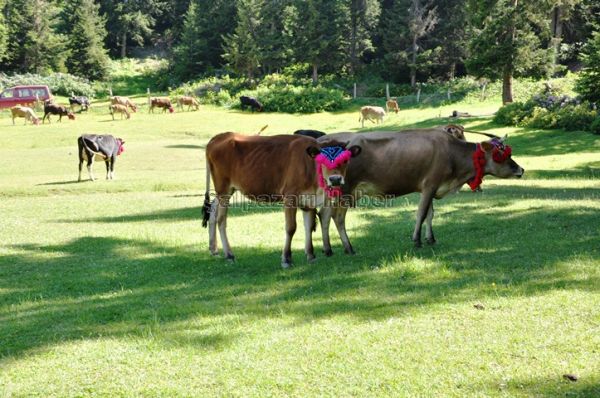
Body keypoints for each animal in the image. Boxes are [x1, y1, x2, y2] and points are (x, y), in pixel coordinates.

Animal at [202, 133, 360, 268]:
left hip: (226, 190)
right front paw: (286, 259)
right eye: (322, 160)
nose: (335, 179)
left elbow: (308, 226)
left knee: (213, 211)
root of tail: (219, 136)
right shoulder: (290, 196)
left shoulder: (309, 200)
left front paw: (310, 255)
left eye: (345, 160)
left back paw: (213, 249)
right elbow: (291, 227)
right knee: (221, 219)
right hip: (223, 189)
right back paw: (229, 254)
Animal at [316, 127, 524, 255]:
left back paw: (332, 249)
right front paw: (416, 240)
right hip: (343, 190)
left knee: (327, 215)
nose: (521, 170)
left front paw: (430, 238)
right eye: (501, 155)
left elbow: (430, 214)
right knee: (334, 217)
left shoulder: (431, 187)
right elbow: (422, 213)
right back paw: (344, 248)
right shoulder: (430, 185)